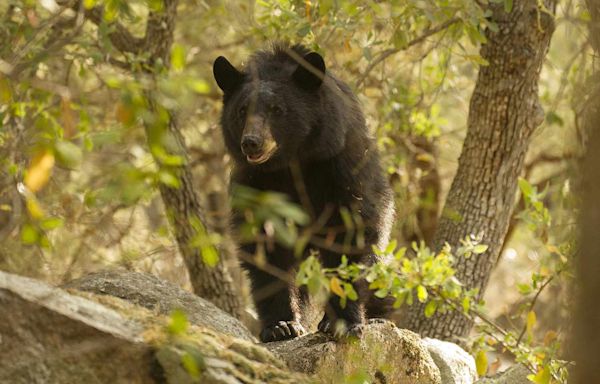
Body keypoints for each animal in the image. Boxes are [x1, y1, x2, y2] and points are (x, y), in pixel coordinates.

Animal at [213, 42, 396, 342]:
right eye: (241, 111)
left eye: (277, 109)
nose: (251, 142)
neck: (293, 161)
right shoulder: (257, 182)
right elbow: (266, 245)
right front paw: (280, 325)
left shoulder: (340, 166)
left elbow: (351, 233)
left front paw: (341, 322)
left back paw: (379, 316)